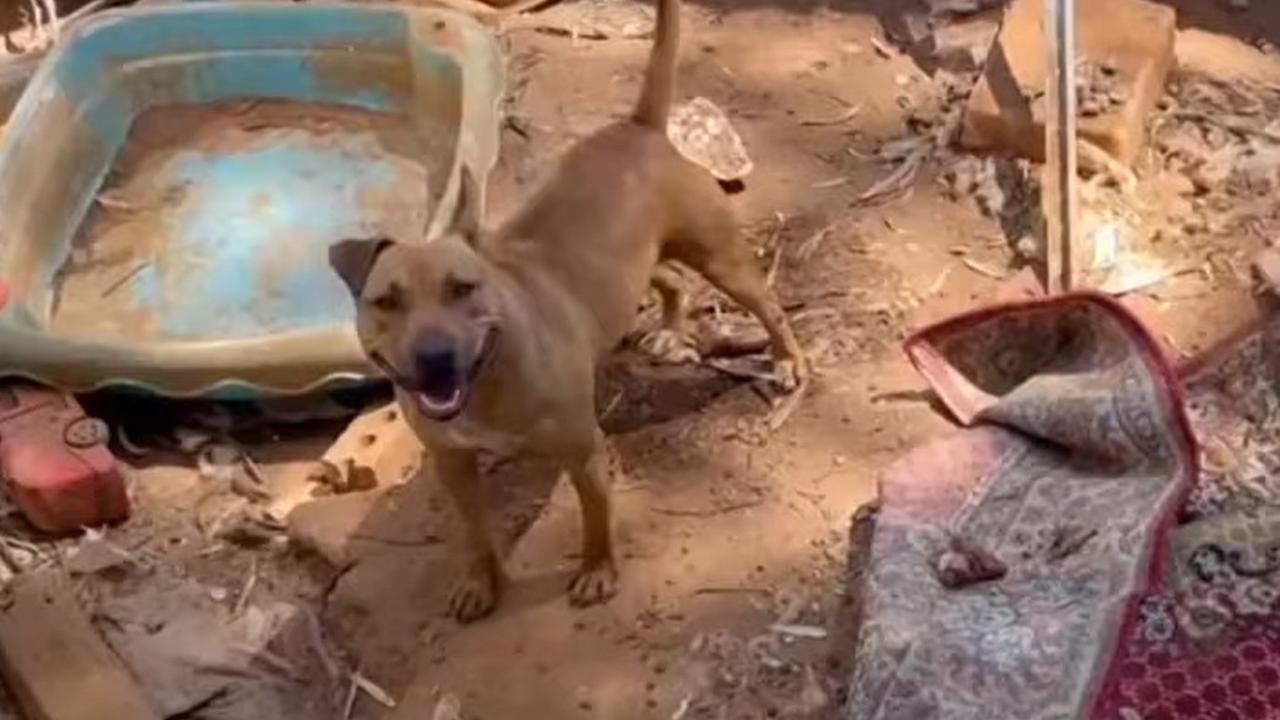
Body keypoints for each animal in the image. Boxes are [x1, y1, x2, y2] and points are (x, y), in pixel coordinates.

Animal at [335, 0, 803, 620]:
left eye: (463, 288)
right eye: (386, 301)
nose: (434, 356)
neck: (489, 375)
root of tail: (640, 128)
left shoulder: (583, 453)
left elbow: (595, 520)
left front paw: (597, 573)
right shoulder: (454, 466)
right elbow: (475, 533)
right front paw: (480, 582)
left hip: (721, 258)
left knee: (768, 306)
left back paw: (788, 361)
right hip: (634, 265)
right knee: (670, 280)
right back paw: (669, 330)